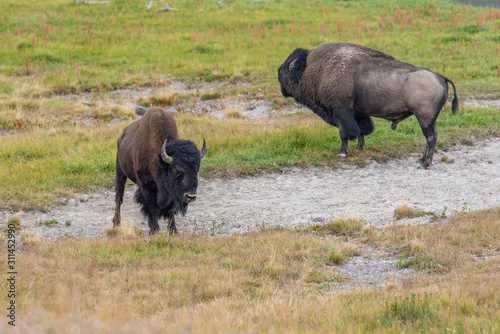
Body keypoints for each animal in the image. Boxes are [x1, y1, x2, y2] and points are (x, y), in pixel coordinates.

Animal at [278, 43, 458, 168]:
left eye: (285, 71)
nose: (282, 88)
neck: (312, 69)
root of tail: (441, 77)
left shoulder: (341, 111)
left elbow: (344, 132)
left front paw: (342, 153)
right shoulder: (358, 114)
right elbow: (361, 130)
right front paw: (359, 148)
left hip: (425, 118)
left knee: (430, 138)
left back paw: (425, 164)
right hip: (429, 120)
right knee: (431, 137)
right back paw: (421, 160)